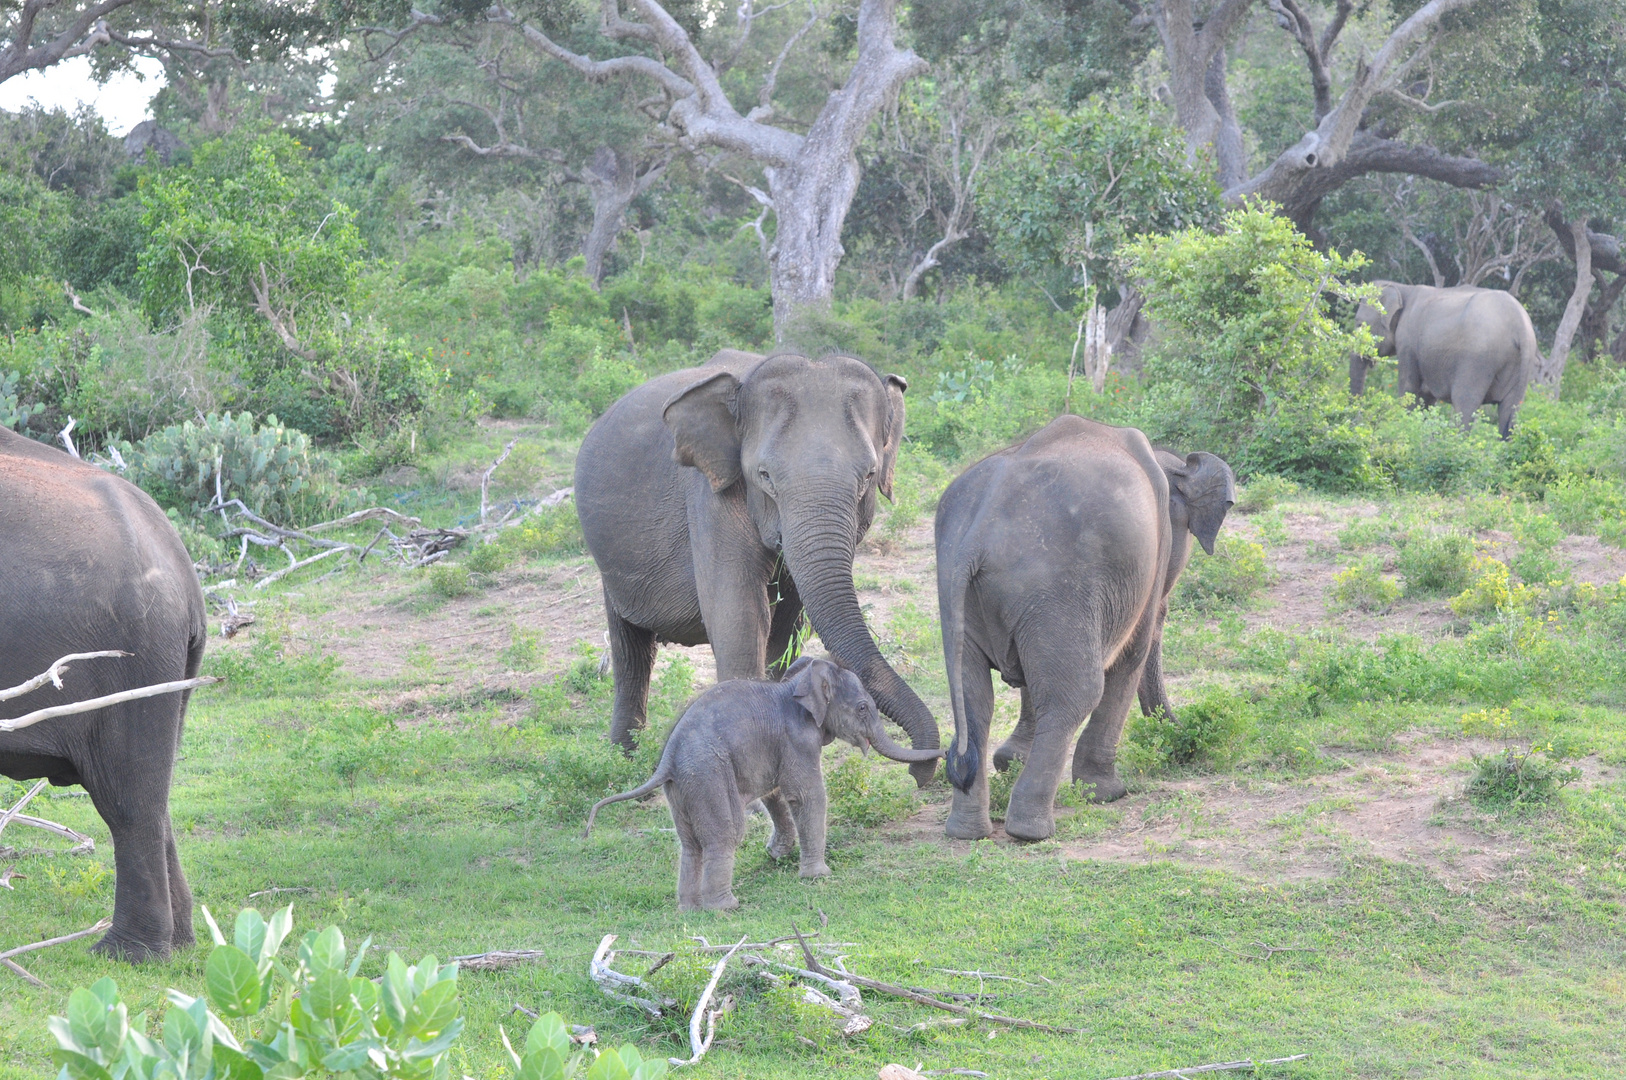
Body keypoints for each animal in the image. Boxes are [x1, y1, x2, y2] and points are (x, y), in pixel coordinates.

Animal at [575, 349, 943, 780]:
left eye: (869, 475)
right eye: (765, 475)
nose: (922, 771)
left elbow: (786, 628)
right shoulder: (712, 496)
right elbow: (739, 616)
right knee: (630, 650)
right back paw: (622, 761)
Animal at [585, 653, 943, 904]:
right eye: (863, 708)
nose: (943, 755)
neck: (797, 684)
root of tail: (668, 757)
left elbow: (776, 791)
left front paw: (777, 855)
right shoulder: (798, 738)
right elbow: (806, 795)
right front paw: (818, 876)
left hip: (683, 787)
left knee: (690, 843)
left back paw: (688, 908)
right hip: (708, 775)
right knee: (726, 833)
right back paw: (725, 906)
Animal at [943, 414, 1229, 845]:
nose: (1186, 737)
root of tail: (976, 536)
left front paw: (1012, 761)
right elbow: (1130, 657)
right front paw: (1107, 794)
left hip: (974, 594)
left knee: (973, 698)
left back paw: (966, 832)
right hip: (1056, 586)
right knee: (1076, 694)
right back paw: (1031, 831)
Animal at [1352, 286, 1541, 442]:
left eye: (1359, 324)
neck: (1403, 288)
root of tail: (1521, 328)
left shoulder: (1407, 344)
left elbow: (1410, 390)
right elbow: (1425, 398)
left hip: (1477, 360)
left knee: (1465, 404)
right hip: (1521, 364)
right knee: (1509, 410)